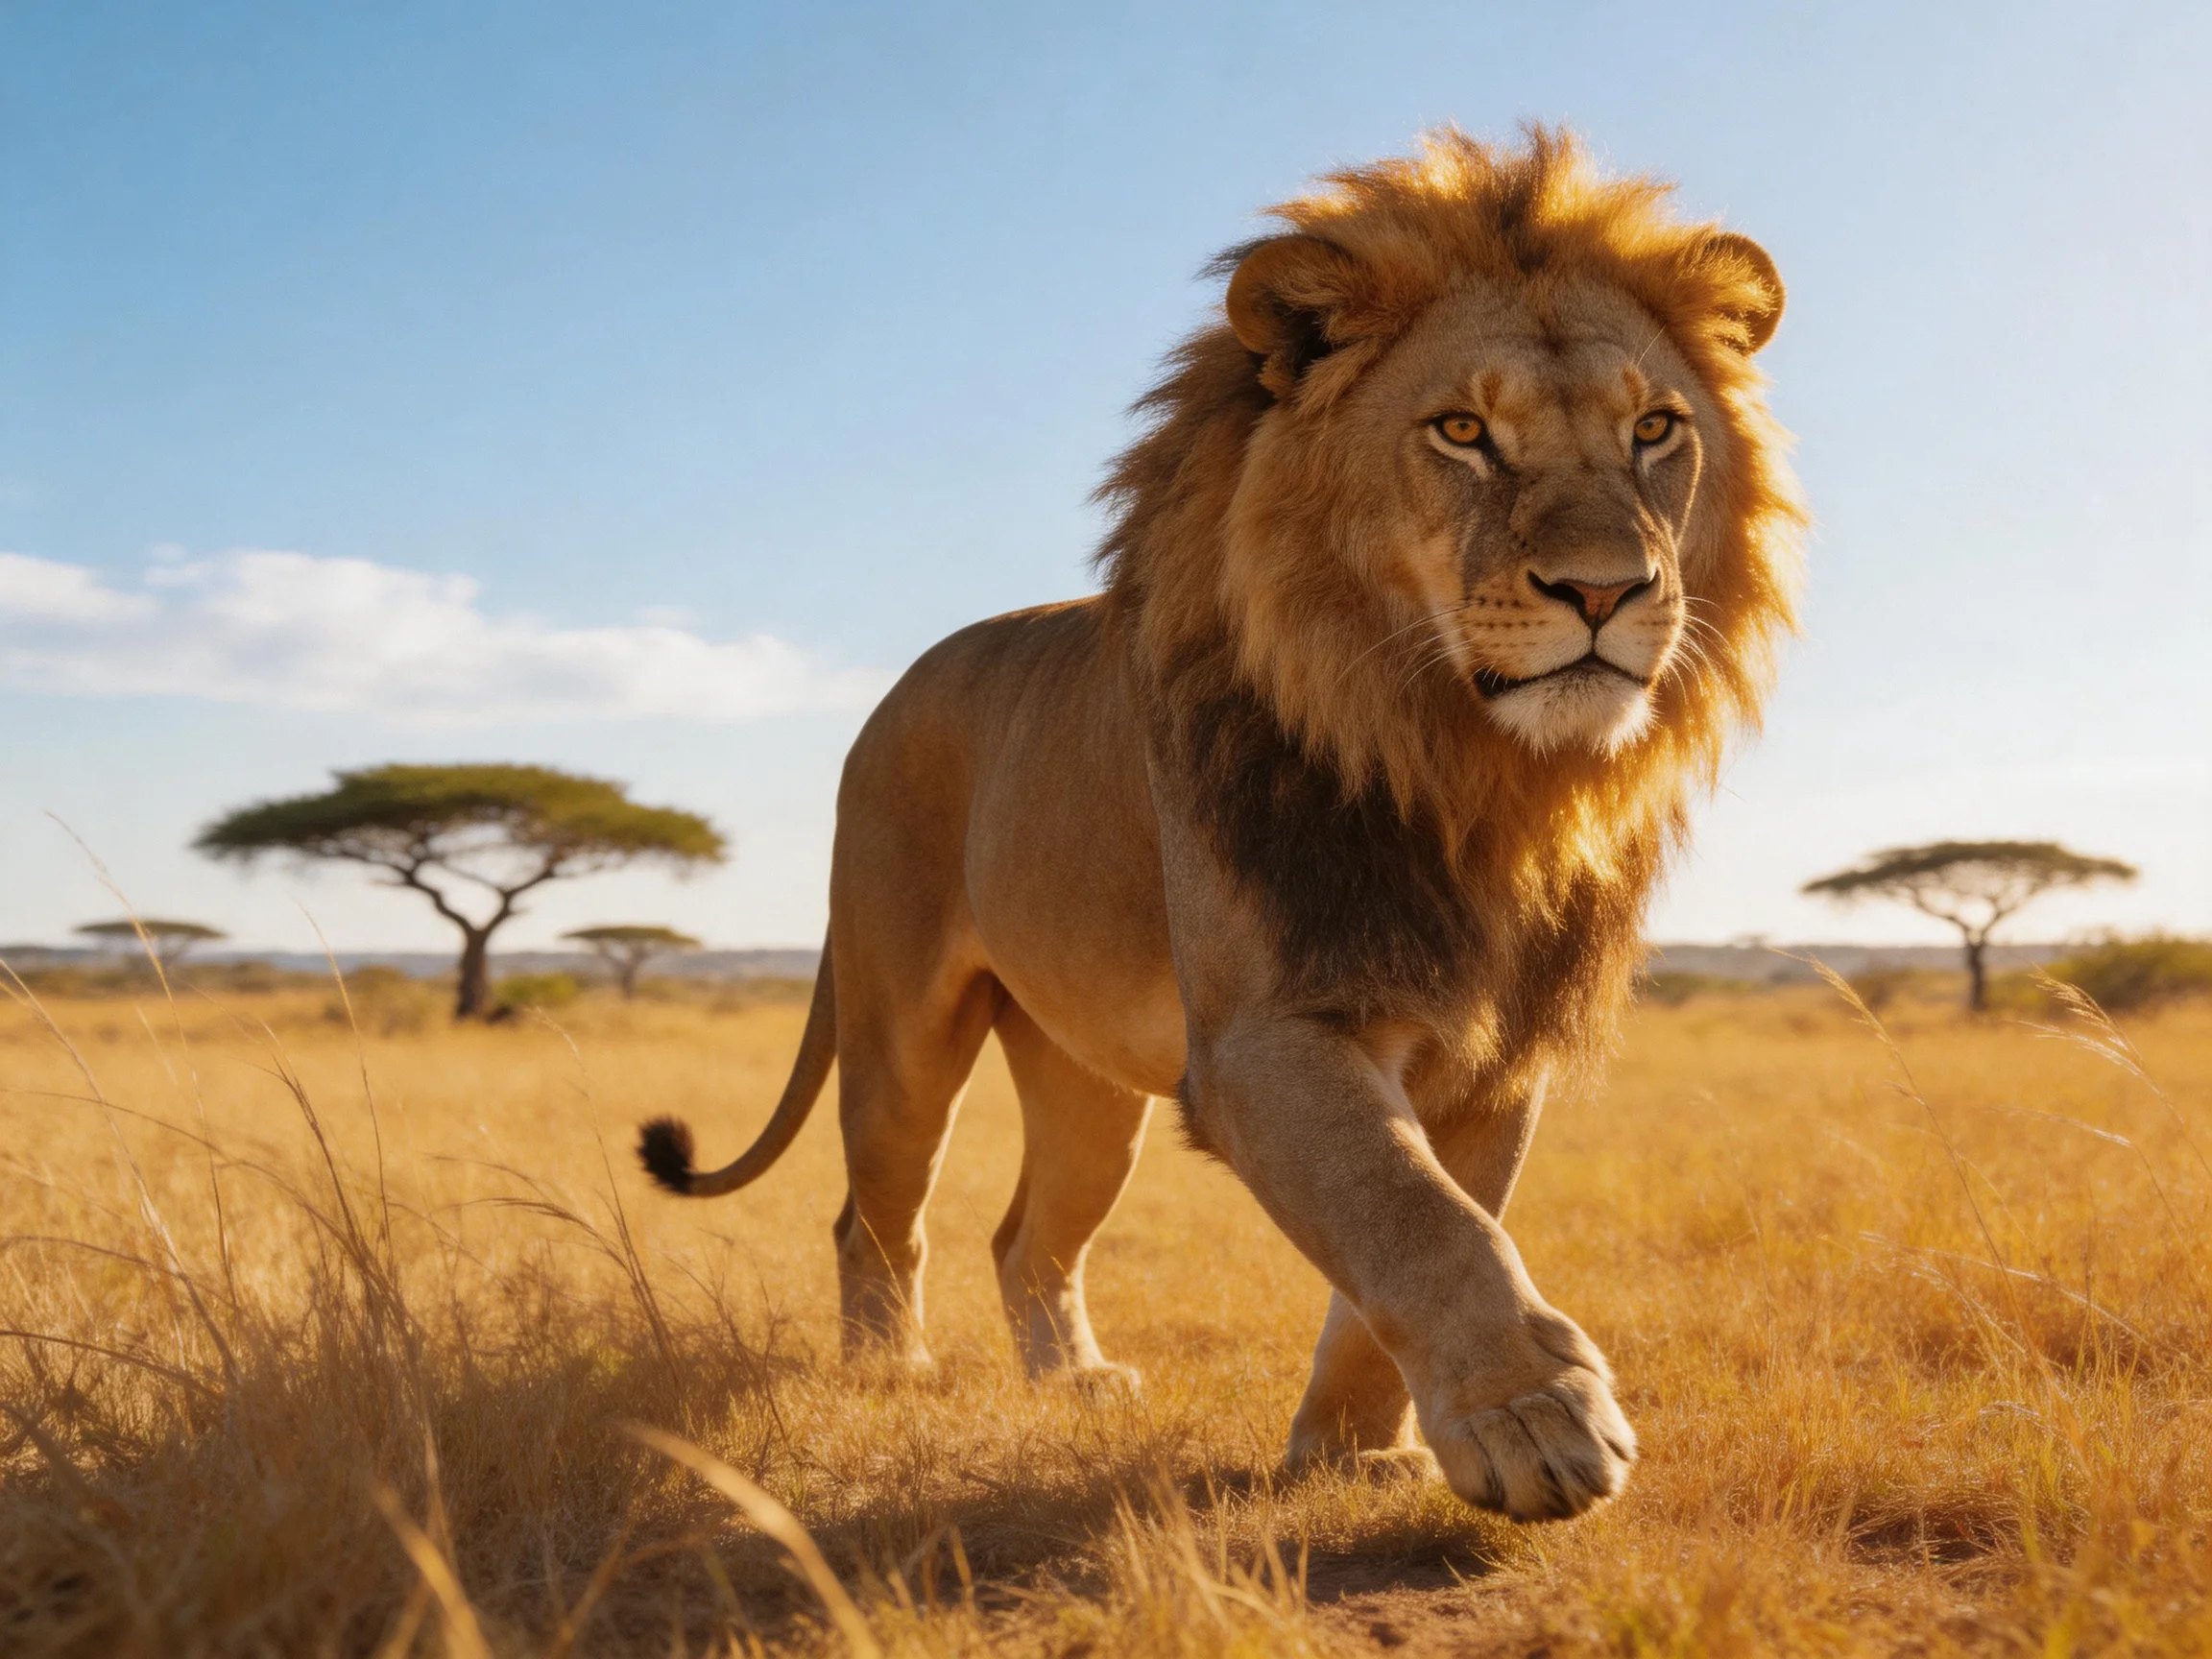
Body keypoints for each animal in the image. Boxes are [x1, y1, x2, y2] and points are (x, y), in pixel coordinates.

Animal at [639, 127, 1804, 1522]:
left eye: (1655, 430)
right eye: (1463, 431)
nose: (1605, 590)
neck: (1467, 772)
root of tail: (898, 688)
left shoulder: (1498, 1048)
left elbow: (1435, 1226)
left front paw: (1358, 1451)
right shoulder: (1262, 1034)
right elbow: (1416, 1216)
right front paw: (1534, 1416)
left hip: (1086, 1079)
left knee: (1026, 1234)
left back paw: (1074, 1382)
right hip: (901, 1029)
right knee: (875, 1212)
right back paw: (890, 1373)